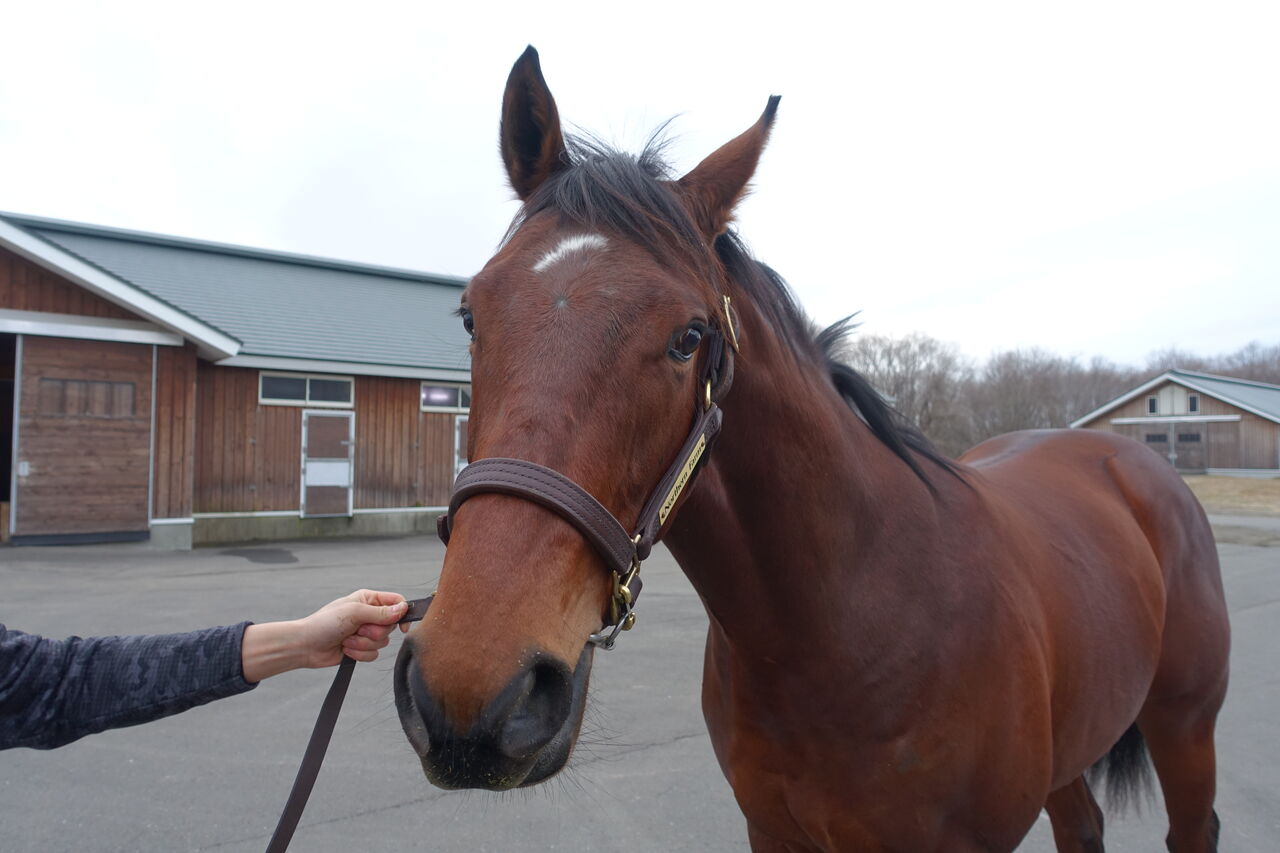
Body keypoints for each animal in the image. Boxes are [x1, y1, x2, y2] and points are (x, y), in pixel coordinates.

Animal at [394, 46, 1230, 852]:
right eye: (471, 314)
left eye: (688, 337)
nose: (470, 687)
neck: (842, 628)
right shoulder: (773, 829)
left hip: (1185, 727)